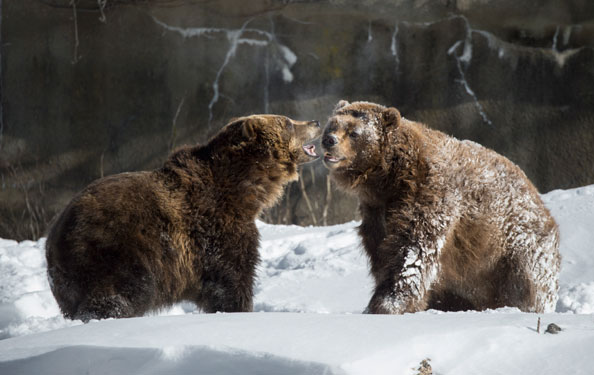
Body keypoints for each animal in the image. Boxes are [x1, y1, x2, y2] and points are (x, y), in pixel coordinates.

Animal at [45, 113, 324, 322]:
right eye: (288, 122)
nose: (315, 122)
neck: (244, 189)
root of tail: (55, 235)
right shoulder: (215, 228)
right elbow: (232, 279)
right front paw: (240, 311)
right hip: (115, 251)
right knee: (114, 298)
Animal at [322, 100, 556, 314]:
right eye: (332, 124)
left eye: (354, 132)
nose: (328, 140)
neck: (389, 178)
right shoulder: (376, 210)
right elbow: (381, 250)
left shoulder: (430, 191)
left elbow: (413, 249)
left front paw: (388, 304)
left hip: (515, 247)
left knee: (527, 282)